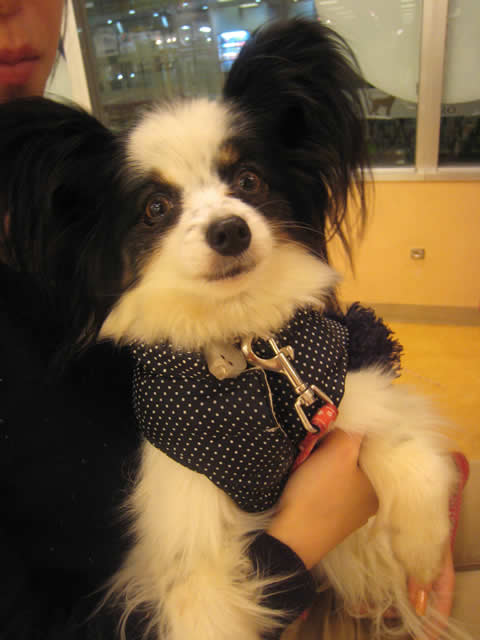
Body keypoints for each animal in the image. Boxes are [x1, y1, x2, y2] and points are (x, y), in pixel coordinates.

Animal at [0, 18, 468, 640]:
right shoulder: (188, 529)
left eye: (248, 180)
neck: (243, 346)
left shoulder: (340, 395)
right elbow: (204, 606)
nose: (229, 231)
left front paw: (422, 549)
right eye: (155, 208)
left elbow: (401, 441)